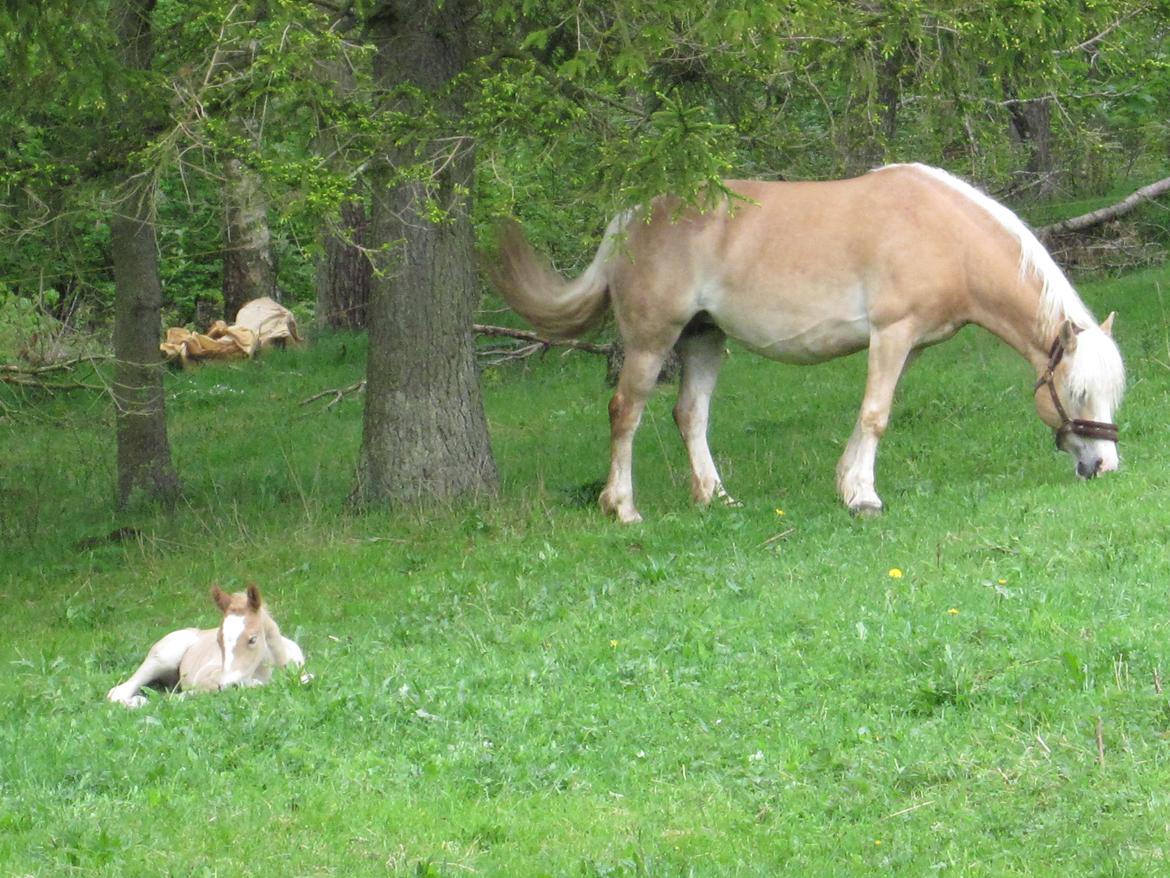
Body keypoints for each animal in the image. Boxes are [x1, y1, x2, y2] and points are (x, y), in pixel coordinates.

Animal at [107, 585, 304, 707]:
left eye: (252, 639)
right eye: (218, 640)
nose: (227, 685)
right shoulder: (207, 675)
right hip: (162, 658)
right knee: (118, 691)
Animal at [491, 162, 1123, 522]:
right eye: (1077, 391)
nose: (1106, 466)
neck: (943, 234)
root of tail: (634, 214)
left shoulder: (909, 344)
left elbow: (873, 412)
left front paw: (848, 485)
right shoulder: (892, 333)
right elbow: (876, 415)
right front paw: (864, 498)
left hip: (704, 339)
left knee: (690, 415)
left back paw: (714, 497)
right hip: (651, 341)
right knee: (626, 413)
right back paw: (622, 508)